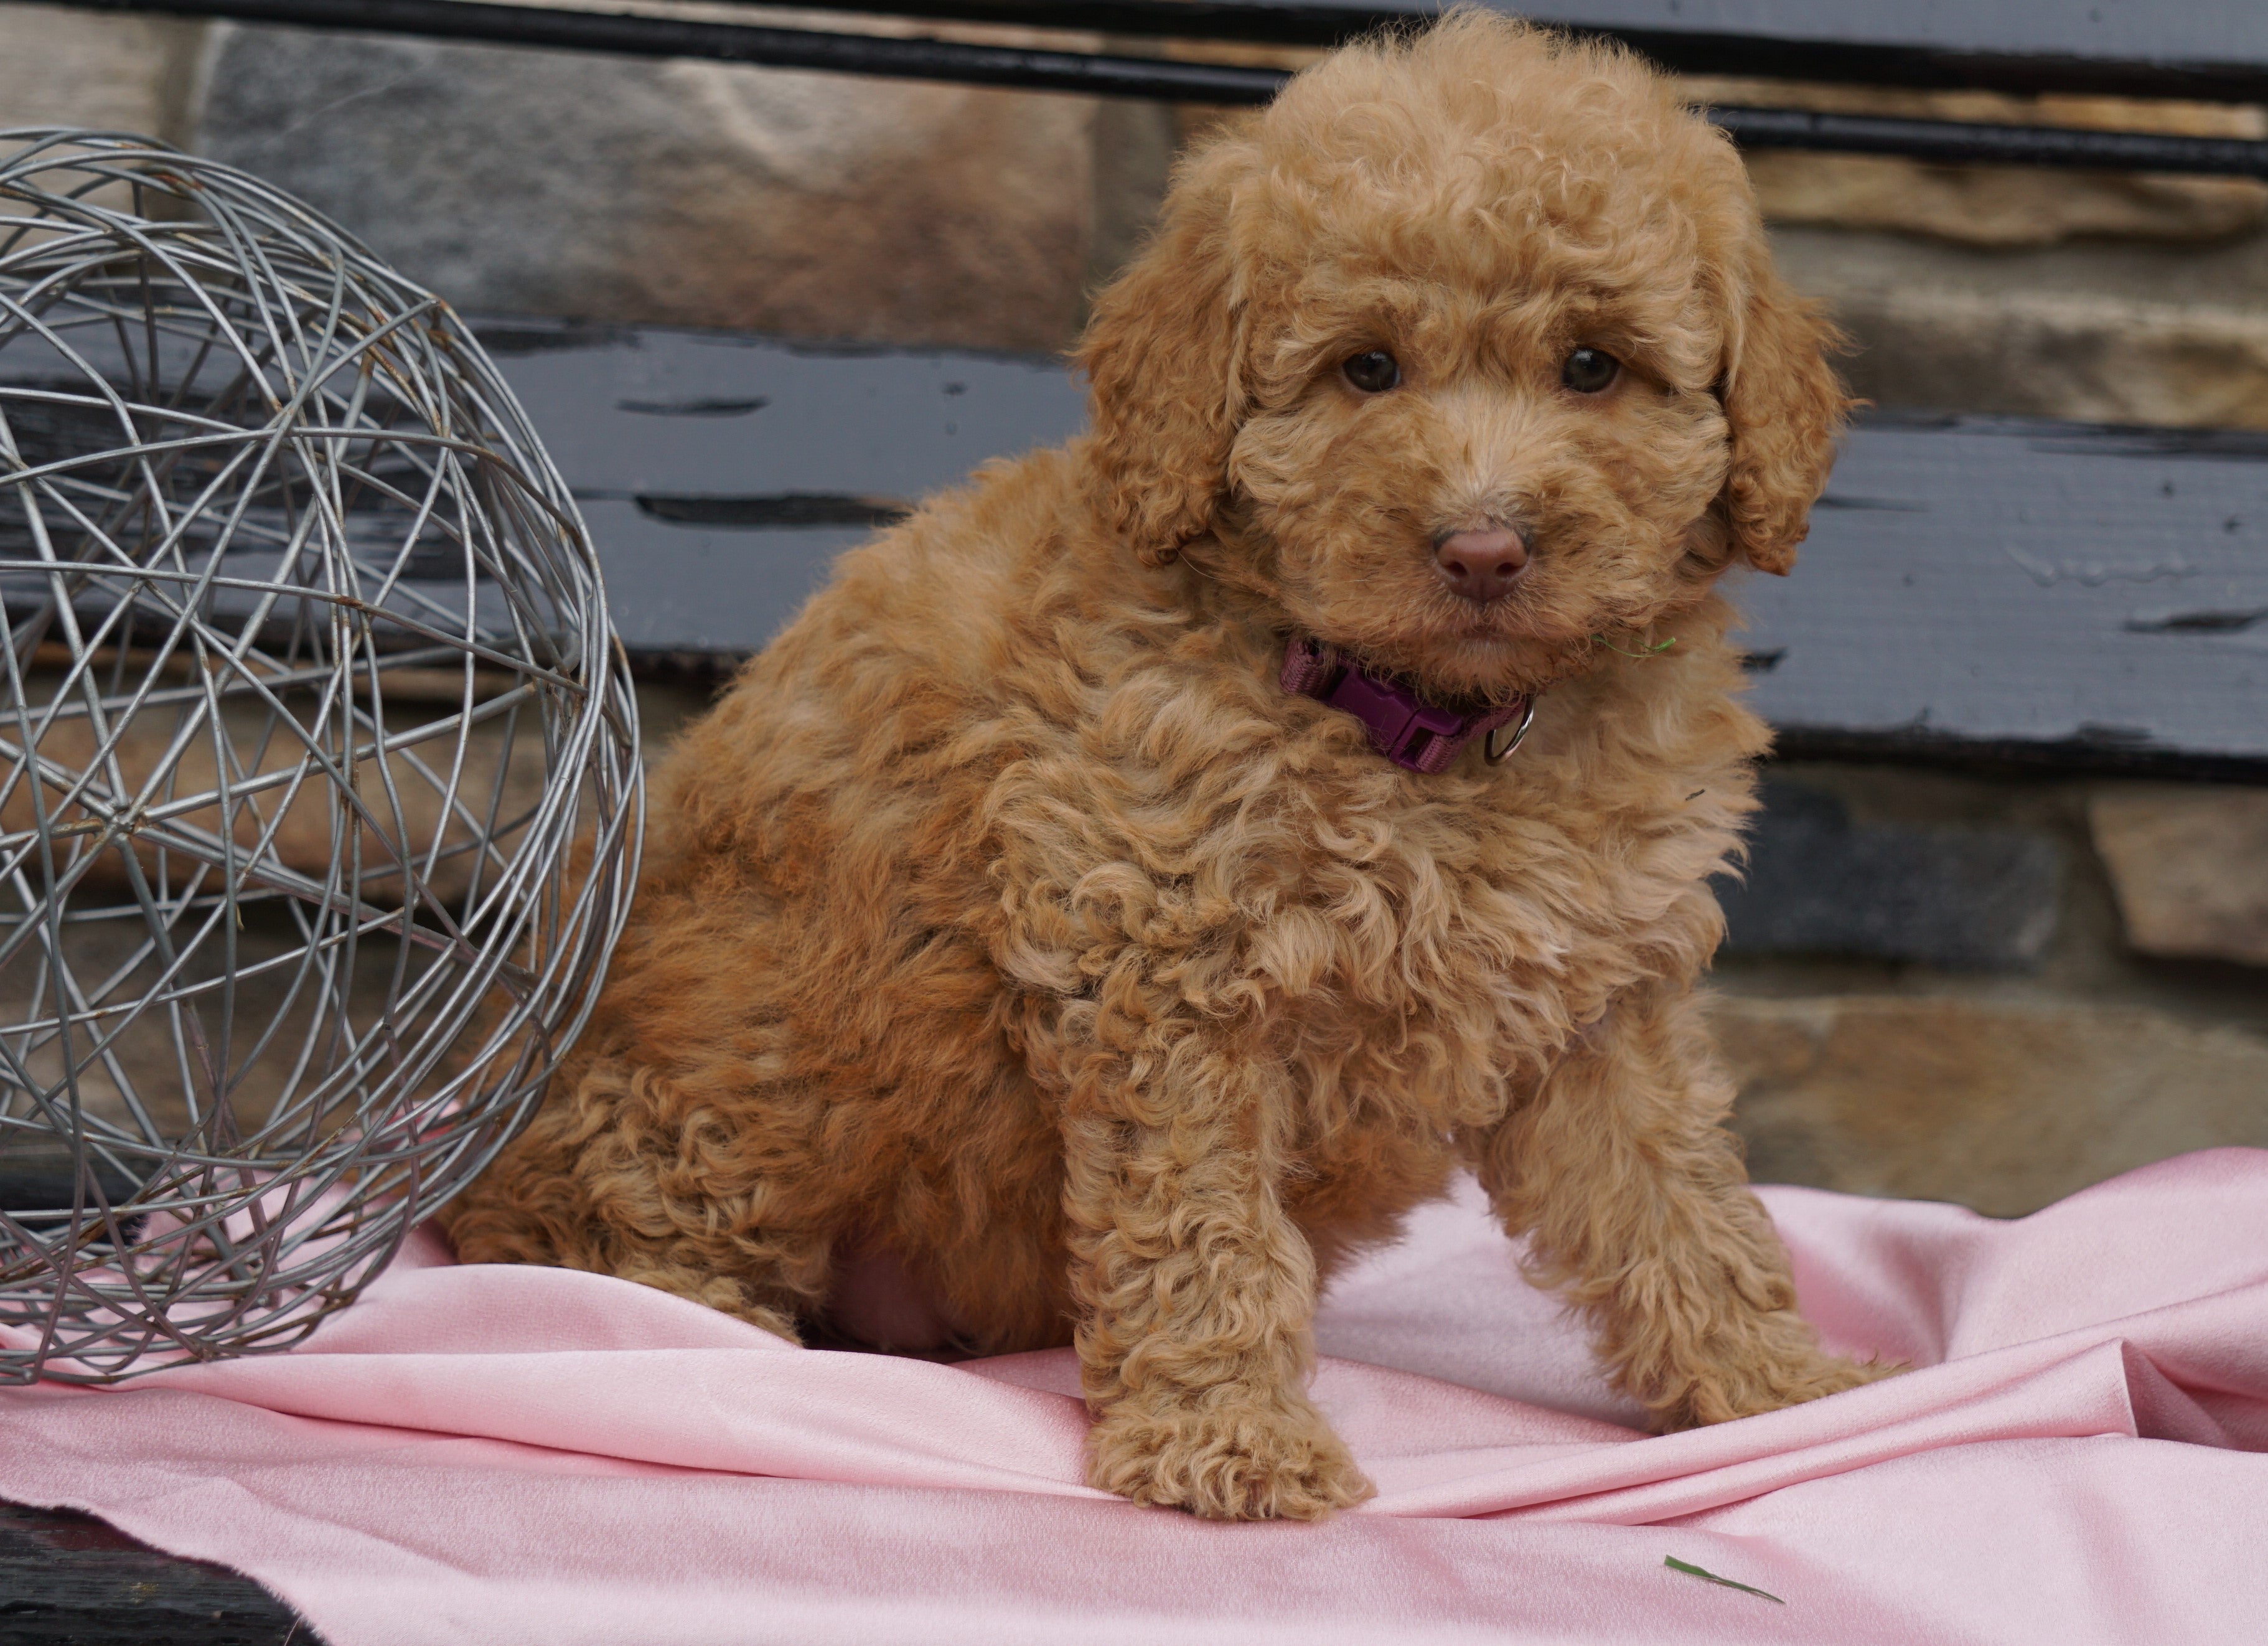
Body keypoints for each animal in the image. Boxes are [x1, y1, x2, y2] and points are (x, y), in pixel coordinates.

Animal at [442, 12, 1878, 1523]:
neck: (1423, 729)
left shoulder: (1595, 1002)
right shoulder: (1164, 972)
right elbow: (1200, 1227)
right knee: (599, 1247)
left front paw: (1780, 1386)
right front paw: (1230, 1437)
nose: (1483, 549)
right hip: (704, 1111)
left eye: (1594, 367)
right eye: (1366, 370)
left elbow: (1678, 1200)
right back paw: (705, 1331)